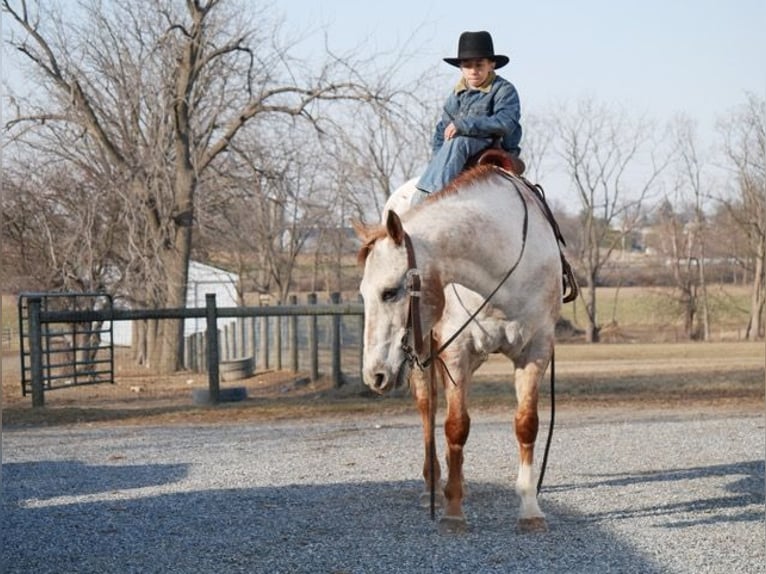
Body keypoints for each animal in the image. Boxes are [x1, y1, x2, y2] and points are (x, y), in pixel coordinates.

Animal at [358, 165, 564, 536]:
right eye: (364, 294)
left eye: (390, 292)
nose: (374, 375)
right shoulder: (457, 353)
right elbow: (456, 426)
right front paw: (452, 511)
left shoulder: (536, 350)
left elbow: (526, 424)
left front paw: (530, 509)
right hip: (423, 358)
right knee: (428, 410)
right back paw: (433, 484)